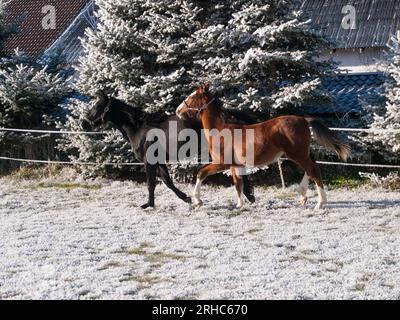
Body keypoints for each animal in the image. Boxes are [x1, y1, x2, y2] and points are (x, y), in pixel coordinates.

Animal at [177, 84, 350, 211]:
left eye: (192, 96)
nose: (178, 110)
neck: (221, 130)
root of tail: (303, 119)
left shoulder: (222, 163)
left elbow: (201, 173)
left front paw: (197, 201)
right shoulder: (236, 165)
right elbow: (238, 183)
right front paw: (240, 204)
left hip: (297, 154)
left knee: (313, 170)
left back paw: (319, 203)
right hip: (301, 153)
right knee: (311, 167)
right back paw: (303, 196)